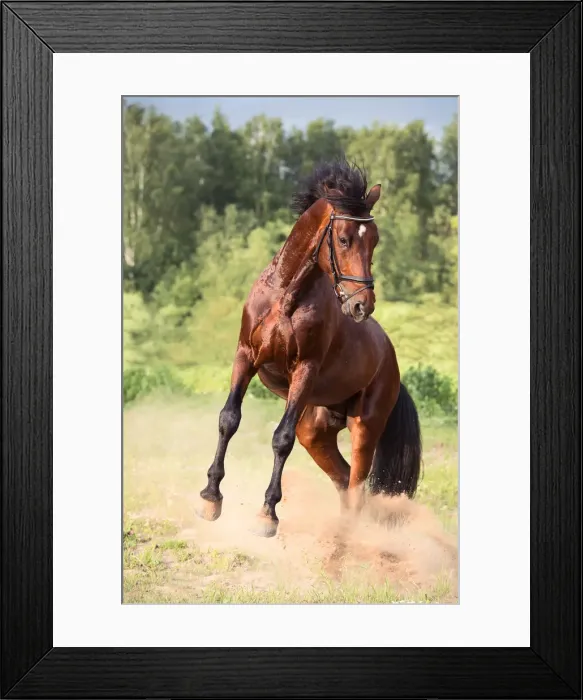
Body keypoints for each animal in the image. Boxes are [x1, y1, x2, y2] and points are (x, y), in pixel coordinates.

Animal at [197, 160, 422, 538]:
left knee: (356, 485)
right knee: (343, 479)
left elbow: (281, 438)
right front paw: (211, 498)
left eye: (374, 241)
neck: (287, 295)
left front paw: (267, 515)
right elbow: (229, 419)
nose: (362, 306)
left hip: (365, 427)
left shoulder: (305, 369)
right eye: (344, 239)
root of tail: (391, 364)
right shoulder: (245, 357)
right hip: (316, 431)